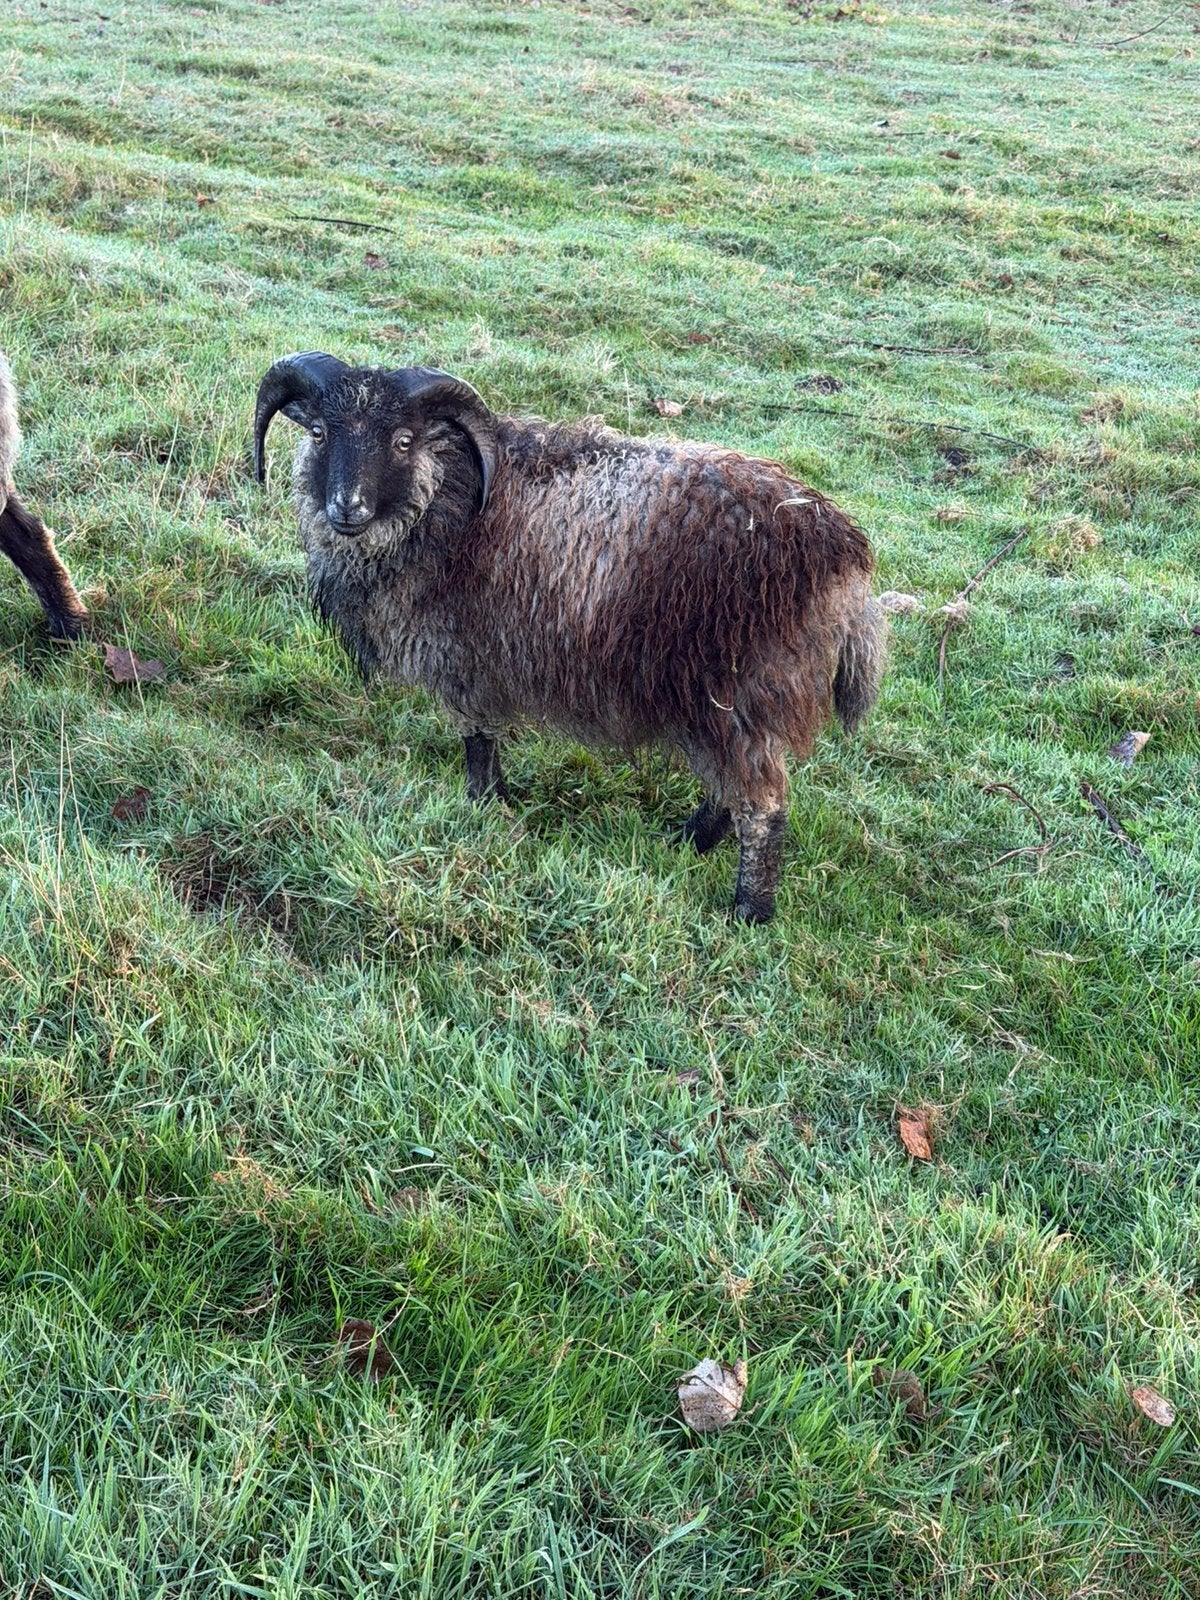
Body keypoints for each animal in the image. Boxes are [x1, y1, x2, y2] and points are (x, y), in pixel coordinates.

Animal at [253, 353, 885, 923]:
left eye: (403, 441)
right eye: (319, 431)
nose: (347, 507)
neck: (445, 499)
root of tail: (847, 560)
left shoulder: (468, 656)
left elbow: (478, 739)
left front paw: (481, 805)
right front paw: (499, 799)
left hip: (744, 688)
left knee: (763, 805)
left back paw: (749, 911)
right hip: (718, 700)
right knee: (730, 788)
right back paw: (686, 841)